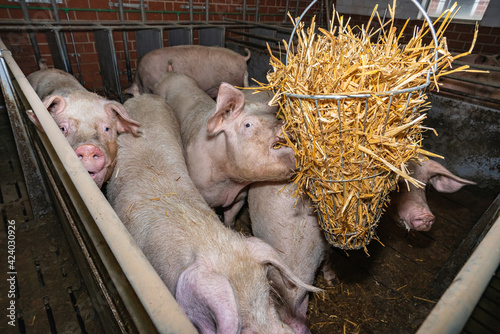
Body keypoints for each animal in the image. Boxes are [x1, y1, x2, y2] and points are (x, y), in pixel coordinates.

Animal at [150, 72, 294, 226]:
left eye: (275, 118)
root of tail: (170, 74)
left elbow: (231, 219)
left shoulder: (239, 198)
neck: (228, 182)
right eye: (248, 124)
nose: (286, 128)